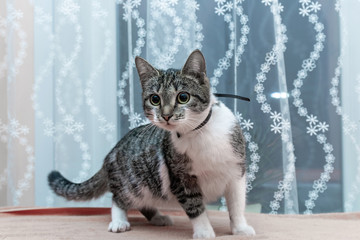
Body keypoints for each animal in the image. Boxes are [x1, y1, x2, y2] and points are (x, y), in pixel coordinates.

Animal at [47, 49, 256, 239]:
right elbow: (195, 207)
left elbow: (237, 204)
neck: (199, 134)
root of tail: (111, 153)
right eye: (155, 99)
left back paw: (158, 217)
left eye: (183, 97)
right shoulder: (181, 178)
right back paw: (119, 221)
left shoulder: (237, 172)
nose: (166, 115)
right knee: (118, 199)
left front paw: (240, 228)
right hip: (132, 183)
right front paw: (204, 232)